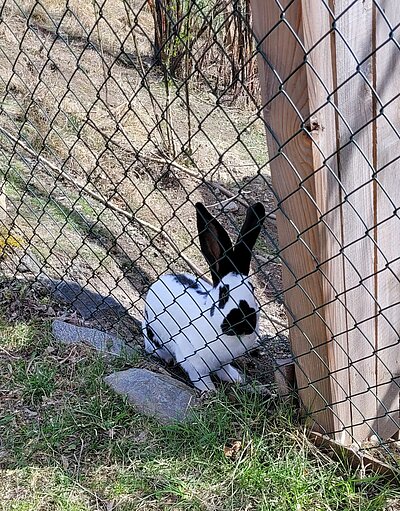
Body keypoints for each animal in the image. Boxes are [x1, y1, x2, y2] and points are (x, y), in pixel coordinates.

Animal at [143, 200, 266, 392]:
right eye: (224, 293)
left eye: (252, 289)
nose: (245, 323)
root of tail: (159, 280)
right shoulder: (191, 360)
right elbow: (200, 377)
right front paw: (210, 391)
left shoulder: (224, 362)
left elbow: (224, 369)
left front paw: (236, 378)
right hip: (151, 335)